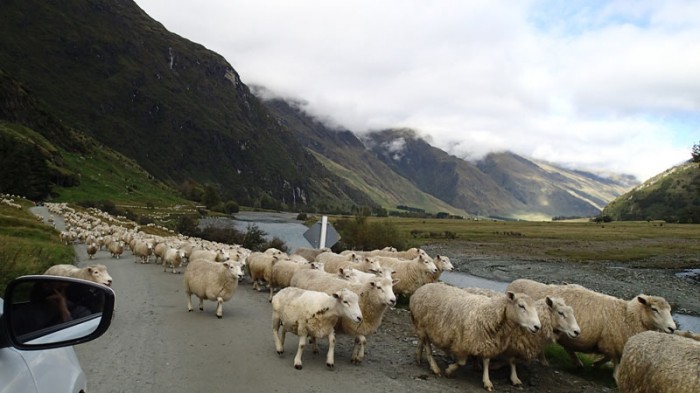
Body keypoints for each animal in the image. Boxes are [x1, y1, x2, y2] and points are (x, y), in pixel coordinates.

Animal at [410, 282, 540, 388]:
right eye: (521, 305)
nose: (537, 326)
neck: (488, 314)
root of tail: (421, 288)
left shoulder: (487, 341)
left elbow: (487, 361)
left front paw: (487, 381)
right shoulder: (462, 343)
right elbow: (461, 362)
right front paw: (449, 370)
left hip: (422, 327)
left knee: (422, 341)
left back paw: (418, 357)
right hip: (422, 326)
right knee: (428, 347)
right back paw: (435, 367)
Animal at [506, 278, 676, 366]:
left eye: (670, 310)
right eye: (654, 309)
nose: (673, 328)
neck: (627, 315)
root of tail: (515, 282)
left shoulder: (610, 344)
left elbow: (607, 358)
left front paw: (595, 364)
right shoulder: (611, 343)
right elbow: (612, 360)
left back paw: (576, 363)